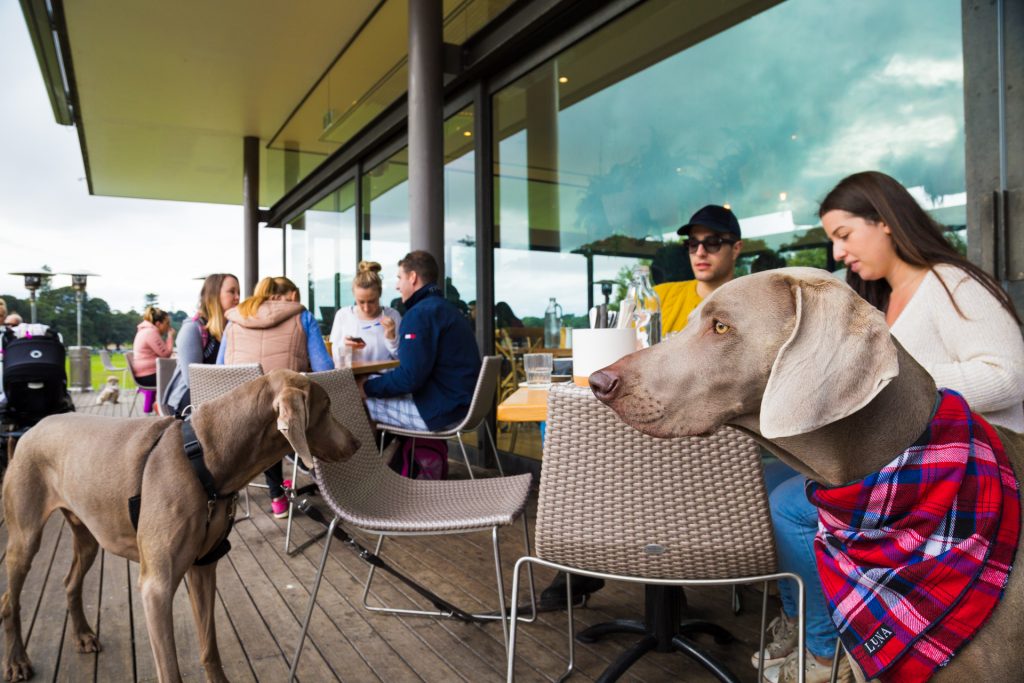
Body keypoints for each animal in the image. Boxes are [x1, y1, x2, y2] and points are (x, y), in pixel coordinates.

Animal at [1, 369, 359, 682]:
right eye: (327, 407)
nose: (357, 442)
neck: (203, 459)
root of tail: (31, 429)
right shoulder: (156, 588)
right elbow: (170, 671)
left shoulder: (203, 566)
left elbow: (209, 647)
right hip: (25, 537)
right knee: (9, 600)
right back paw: (17, 661)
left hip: (88, 535)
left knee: (70, 581)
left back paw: (83, 635)